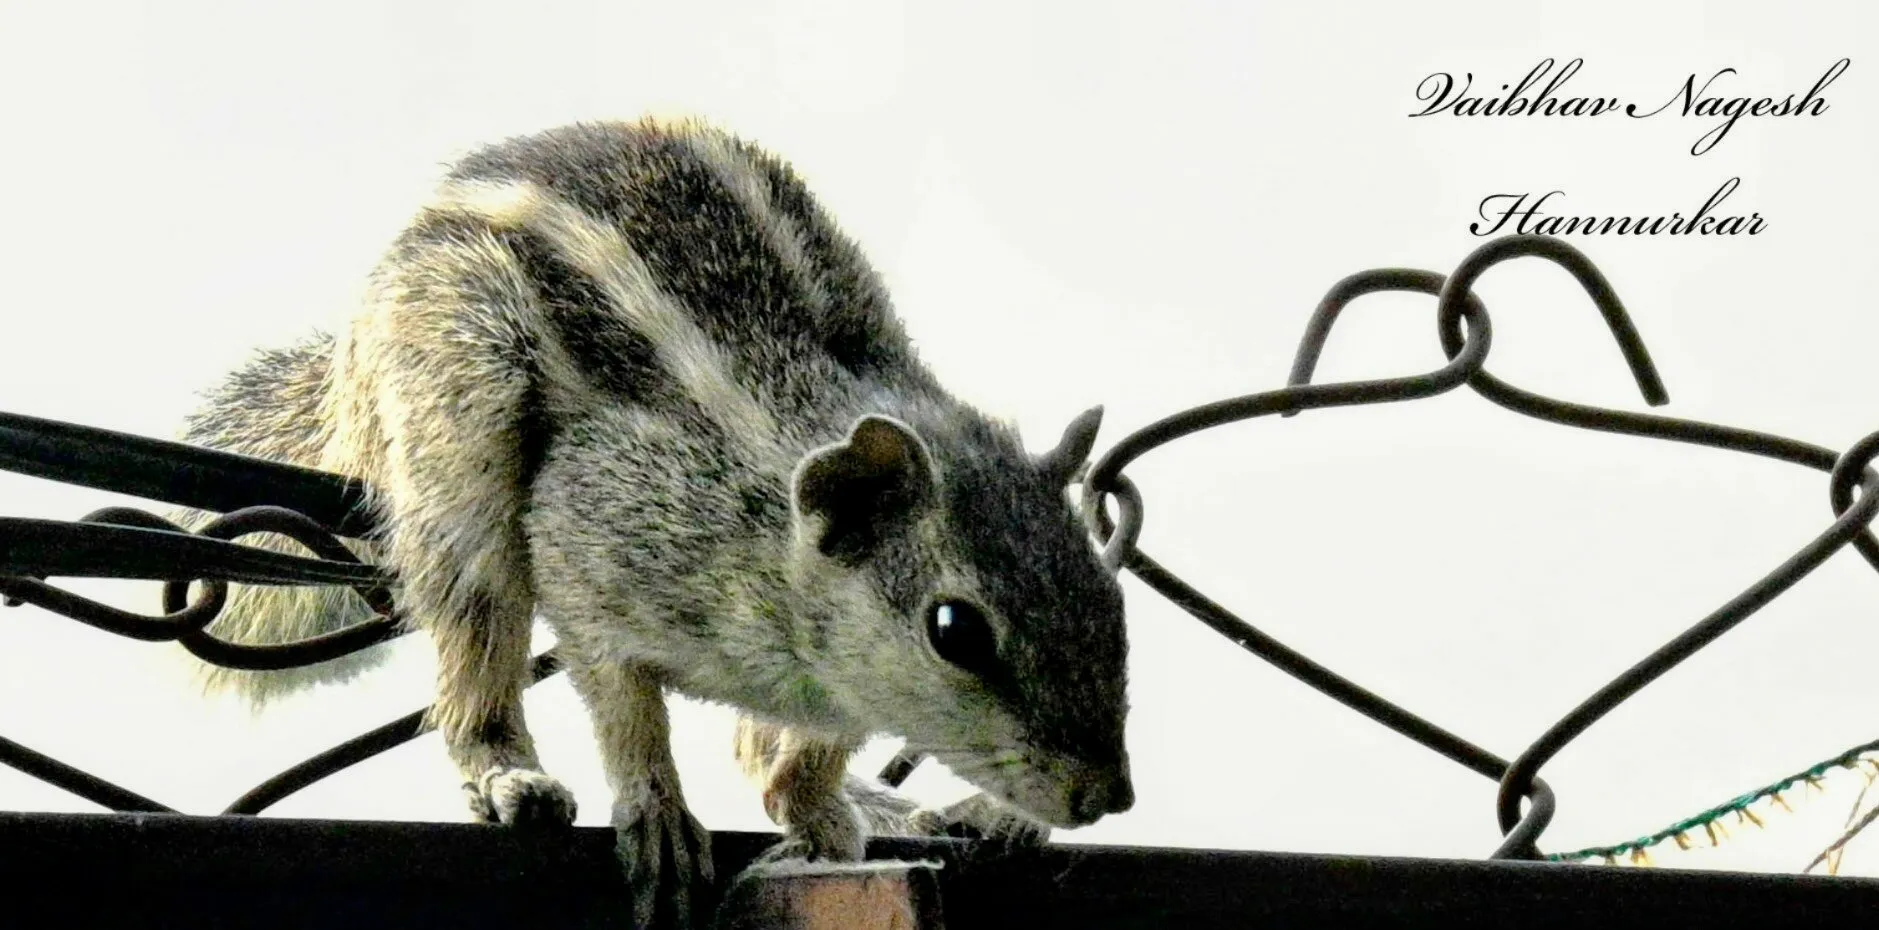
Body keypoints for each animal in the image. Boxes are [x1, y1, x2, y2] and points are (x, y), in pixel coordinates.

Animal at [167, 117, 1135, 927]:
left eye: (1109, 598)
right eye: (954, 630)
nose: (1105, 798)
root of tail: (349, 357)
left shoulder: (831, 684)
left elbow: (809, 749)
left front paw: (816, 805)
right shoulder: (589, 550)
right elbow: (624, 702)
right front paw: (659, 811)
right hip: (457, 428)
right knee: (474, 647)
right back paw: (509, 775)